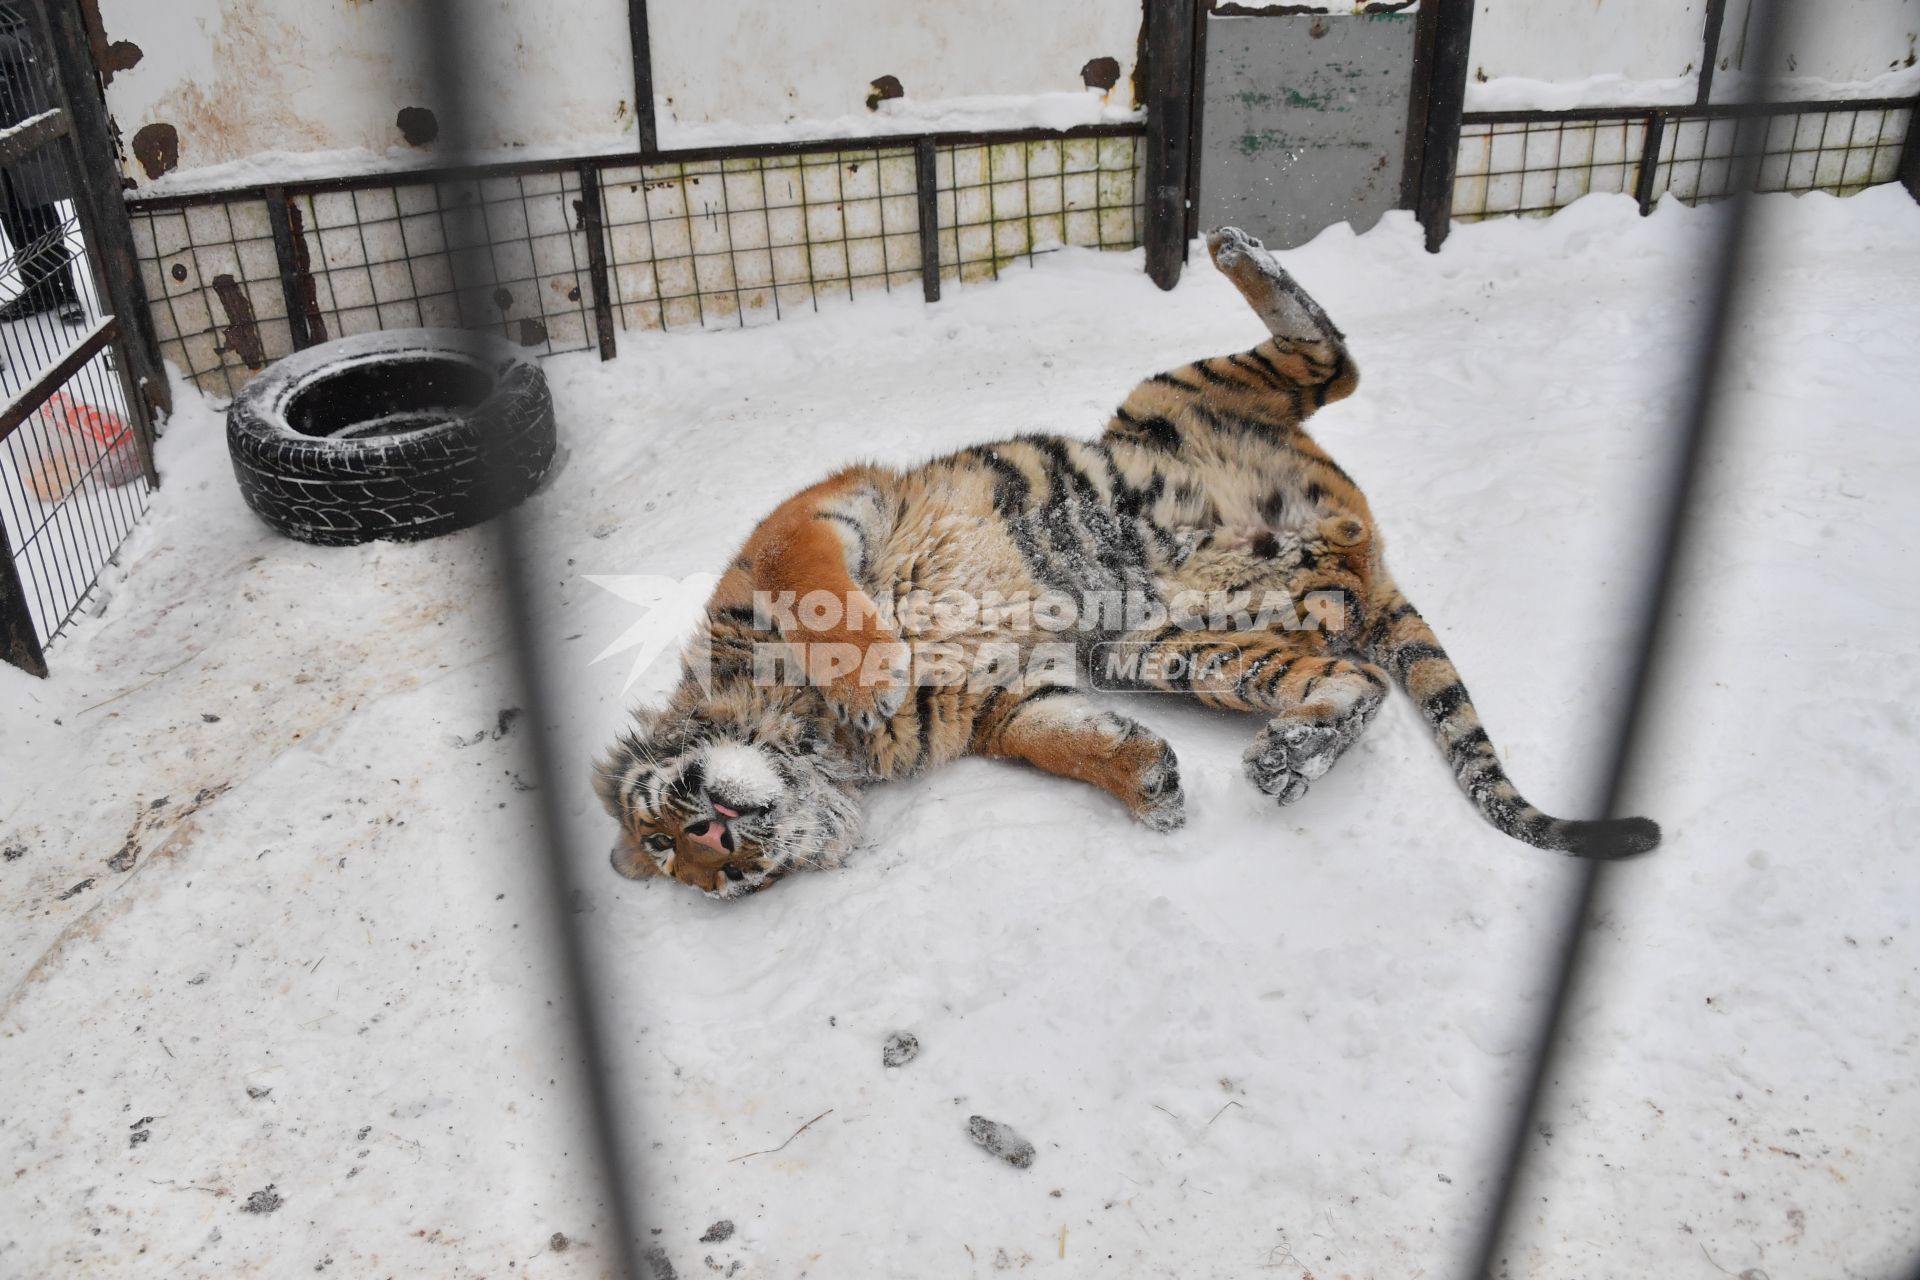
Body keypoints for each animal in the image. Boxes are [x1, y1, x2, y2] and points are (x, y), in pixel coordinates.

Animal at [591, 225, 1658, 898]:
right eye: (718, 874)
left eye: (667, 828)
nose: (719, 837)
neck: (801, 736)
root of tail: (1363, 554)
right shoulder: (1006, 695)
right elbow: (1060, 739)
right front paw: (1150, 781)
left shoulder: (819, 515)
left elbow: (809, 579)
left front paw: (867, 672)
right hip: (1172, 645)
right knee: (1357, 682)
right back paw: (1288, 757)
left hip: (1167, 402)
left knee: (1331, 360)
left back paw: (1238, 251)